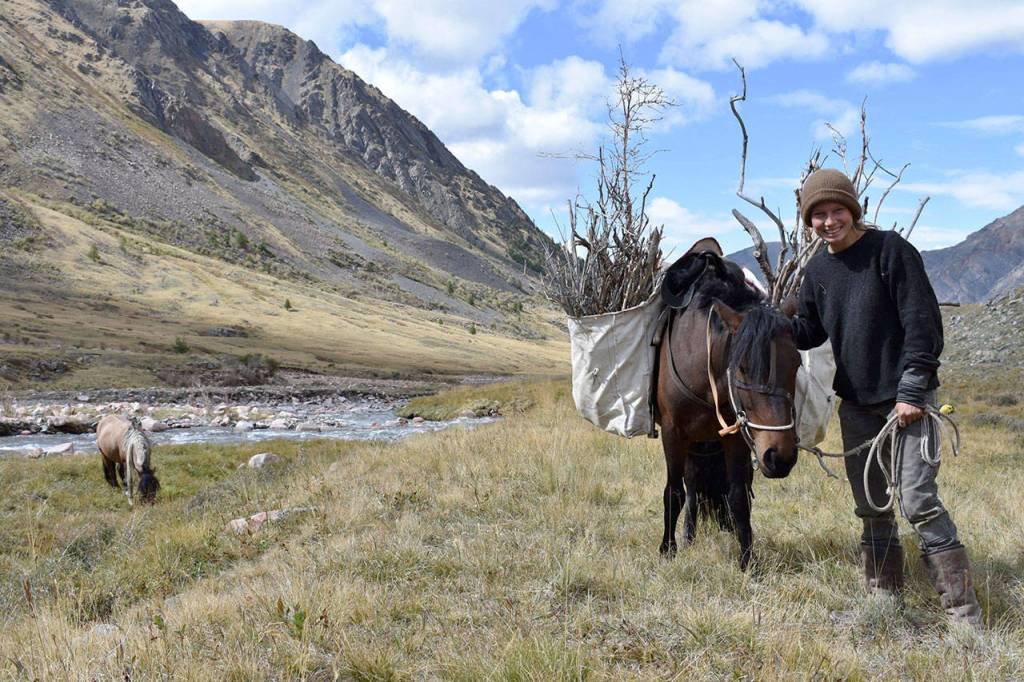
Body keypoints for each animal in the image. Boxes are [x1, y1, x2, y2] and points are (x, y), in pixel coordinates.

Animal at [655, 245, 801, 570]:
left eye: (797, 363)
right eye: (742, 367)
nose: (780, 457)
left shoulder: (736, 437)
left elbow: (738, 498)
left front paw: (748, 561)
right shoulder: (673, 432)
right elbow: (673, 492)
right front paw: (667, 551)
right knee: (690, 488)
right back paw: (687, 537)